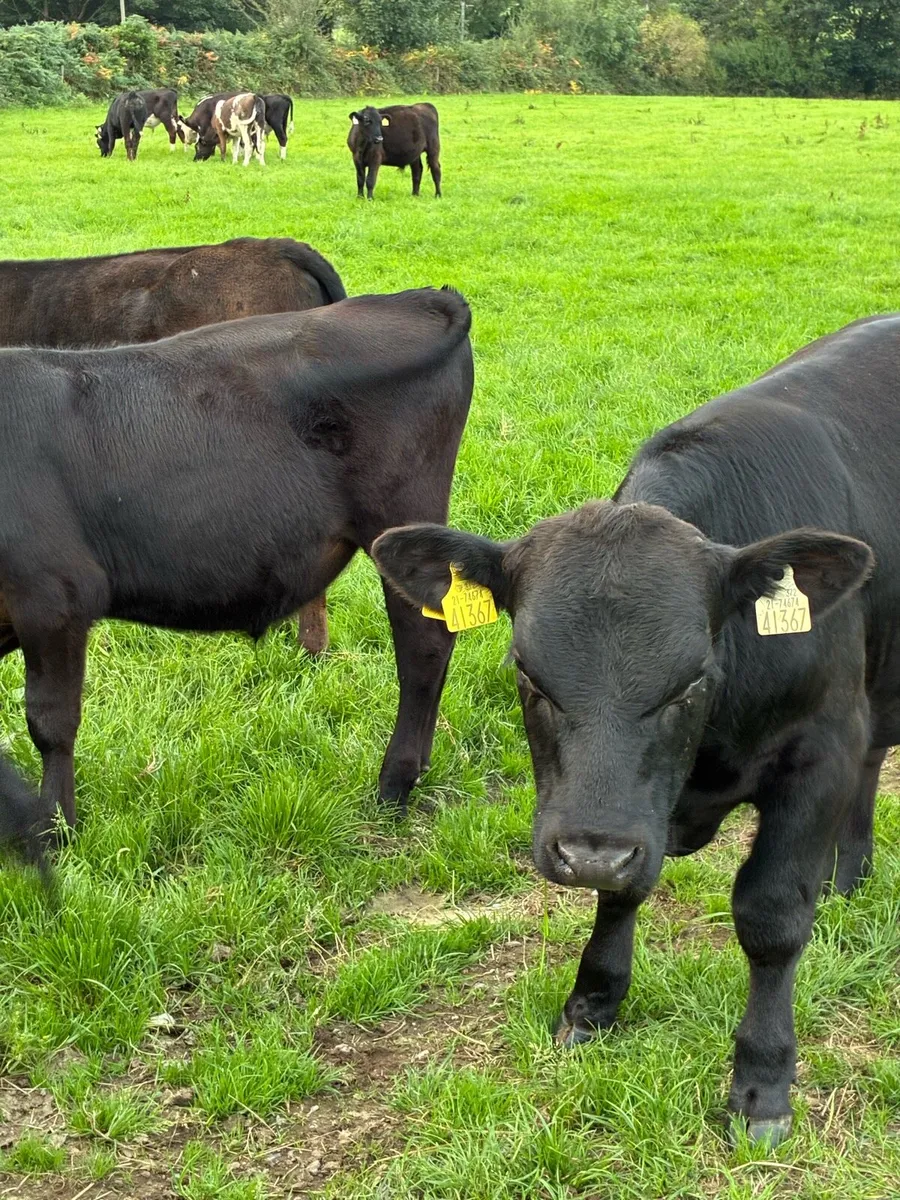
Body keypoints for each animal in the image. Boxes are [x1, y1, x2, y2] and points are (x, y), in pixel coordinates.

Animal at [0, 288, 473, 842]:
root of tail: (422, 298)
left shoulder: (54, 596)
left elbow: (50, 722)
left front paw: (56, 831)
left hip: (400, 519)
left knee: (423, 645)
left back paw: (393, 786)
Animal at [372, 313, 900, 1147]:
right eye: (528, 673)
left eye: (691, 681)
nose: (589, 851)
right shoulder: (631, 813)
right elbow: (624, 889)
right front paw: (593, 1003)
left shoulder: (821, 748)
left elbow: (772, 913)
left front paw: (762, 1083)